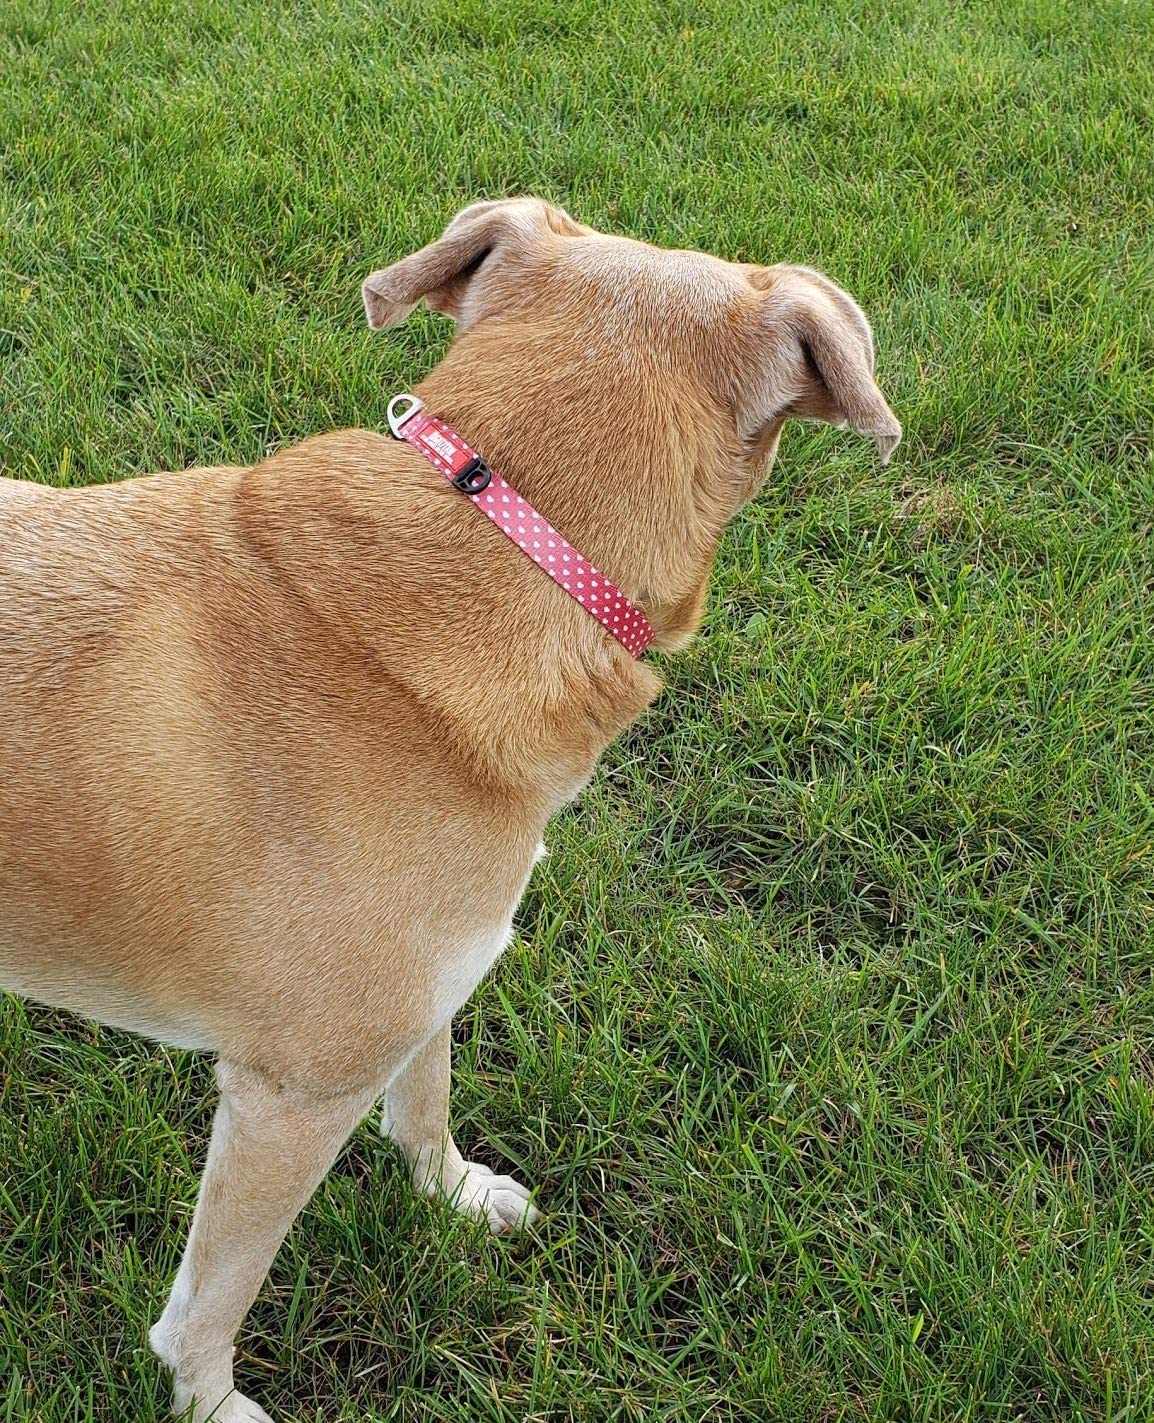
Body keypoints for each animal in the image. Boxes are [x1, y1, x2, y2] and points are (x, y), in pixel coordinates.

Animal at [0, 200, 904, 1423]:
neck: (503, 535)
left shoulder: (439, 976)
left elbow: (423, 1102)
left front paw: (450, 1191)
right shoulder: (290, 1094)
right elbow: (208, 1303)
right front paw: (208, 1400)